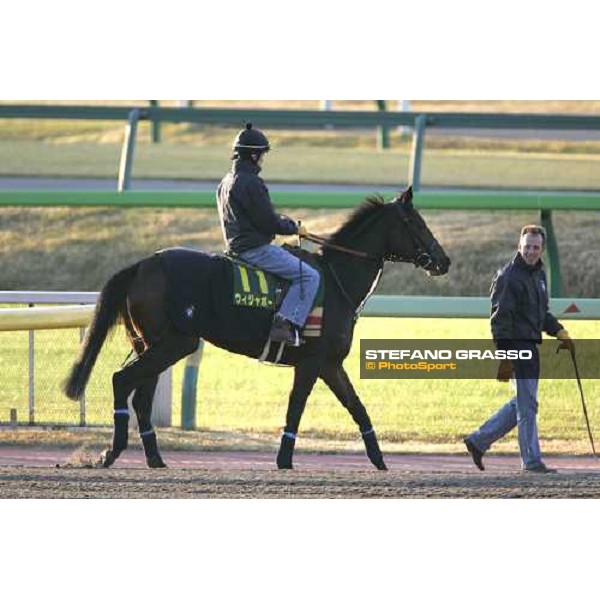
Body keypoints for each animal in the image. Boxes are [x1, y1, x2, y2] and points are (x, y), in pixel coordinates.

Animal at [64, 186, 450, 468]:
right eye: (417, 223)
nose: (443, 261)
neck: (336, 280)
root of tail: (144, 264)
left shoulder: (330, 364)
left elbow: (356, 406)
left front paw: (380, 460)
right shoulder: (312, 362)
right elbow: (296, 407)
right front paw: (284, 460)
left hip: (152, 344)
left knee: (141, 397)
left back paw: (155, 459)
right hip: (174, 343)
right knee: (121, 380)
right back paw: (112, 453)